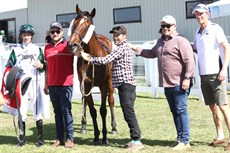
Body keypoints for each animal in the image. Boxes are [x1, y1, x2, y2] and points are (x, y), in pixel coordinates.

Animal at [66, 3, 117, 145]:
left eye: (87, 24)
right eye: (74, 23)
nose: (72, 44)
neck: (92, 58)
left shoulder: (104, 85)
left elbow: (103, 110)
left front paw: (104, 137)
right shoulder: (86, 84)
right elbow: (92, 110)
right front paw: (96, 136)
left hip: (110, 83)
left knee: (111, 101)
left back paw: (113, 127)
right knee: (85, 101)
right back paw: (83, 125)